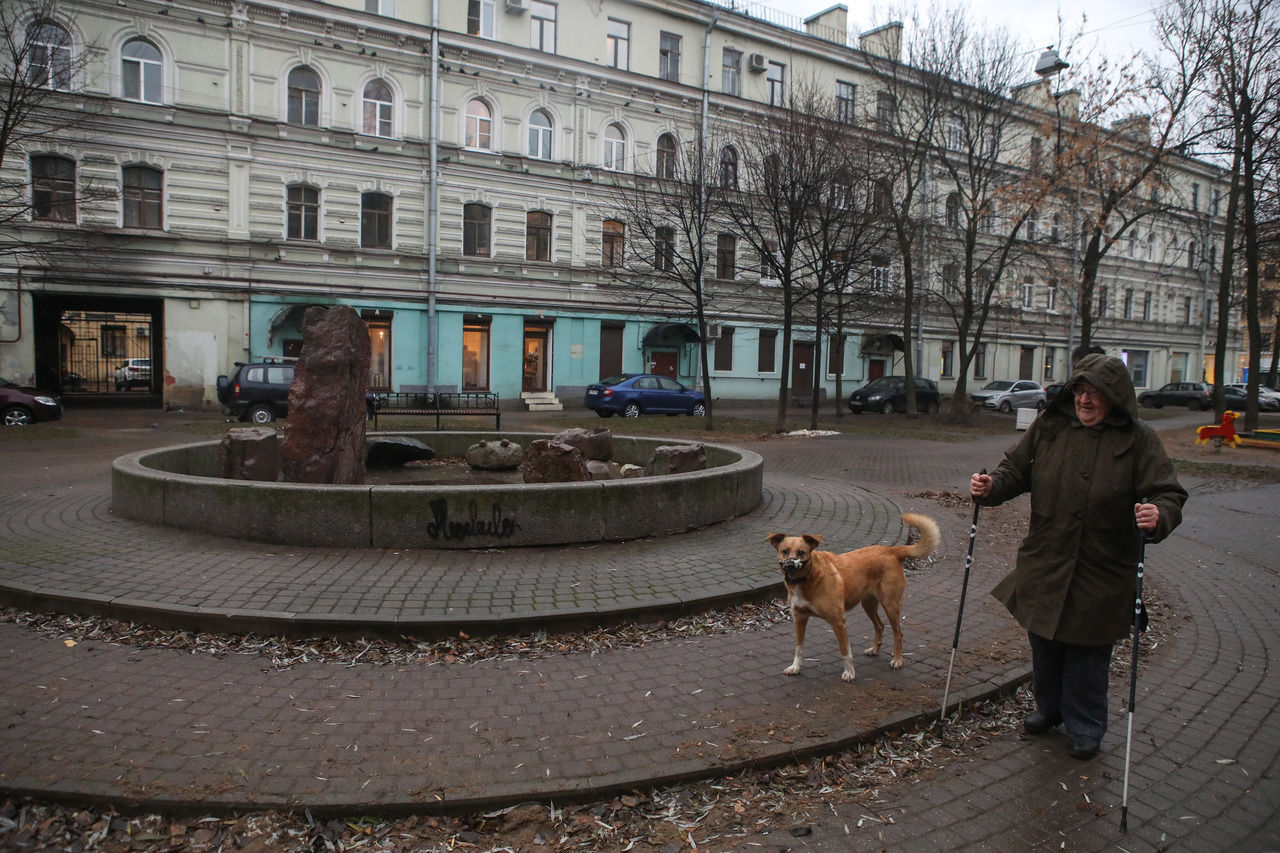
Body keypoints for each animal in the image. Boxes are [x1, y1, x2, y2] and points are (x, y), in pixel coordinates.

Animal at [768, 512, 942, 676]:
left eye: (801, 552)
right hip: (868, 604)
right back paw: (874, 649)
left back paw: (897, 660)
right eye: (784, 551)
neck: (807, 579)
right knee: (880, 626)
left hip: (890, 606)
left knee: (898, 633)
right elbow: (799, 648)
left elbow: (845, 651)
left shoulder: (838, 621)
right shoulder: (799, 618)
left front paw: (849, 673)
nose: (790, 565)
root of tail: (890, 550)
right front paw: (795, 667)